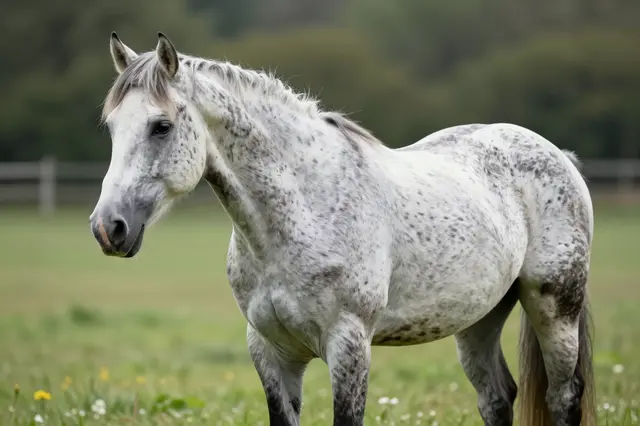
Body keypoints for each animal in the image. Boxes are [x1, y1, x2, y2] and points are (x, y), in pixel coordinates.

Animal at [90, 32, 596, 426]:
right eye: (111, 127)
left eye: (161, 126)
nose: (107, 228)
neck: (302, 211)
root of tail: (558, 156)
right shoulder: (270, 351)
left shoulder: (349, 345)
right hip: (478, 319)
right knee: (496, 398)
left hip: (555, 310)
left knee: (563, 397)